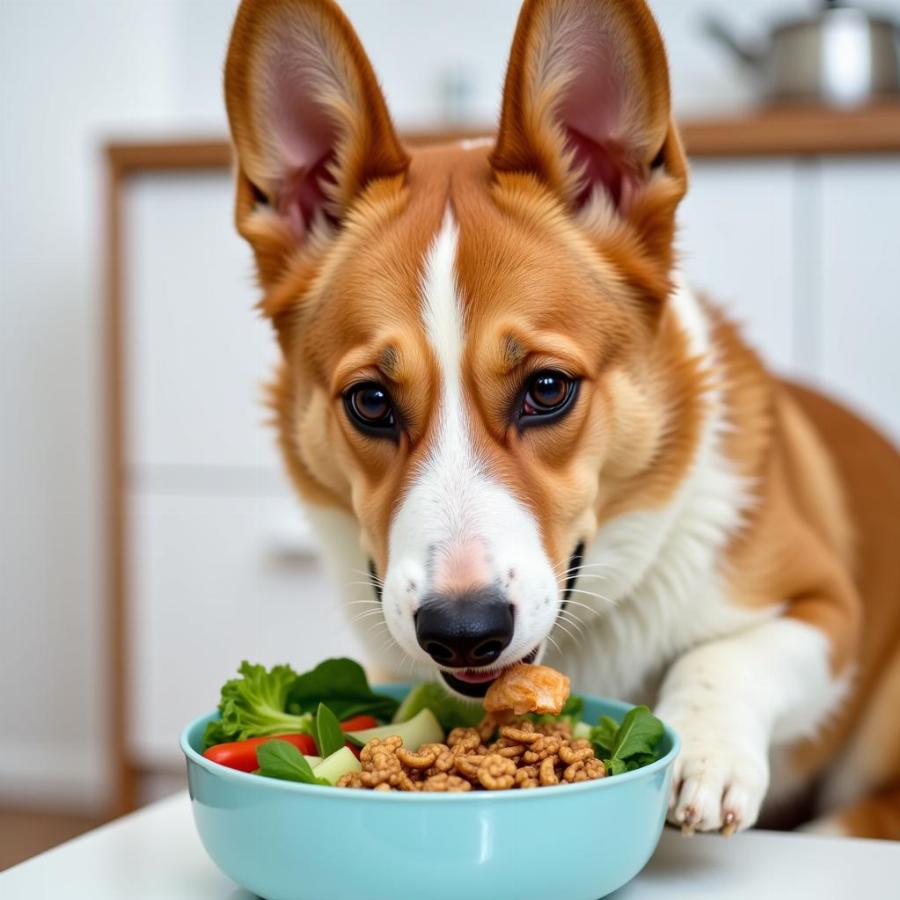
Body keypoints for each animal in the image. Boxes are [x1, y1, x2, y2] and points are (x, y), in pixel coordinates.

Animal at [223, 0, 900, 840]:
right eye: (371, 401)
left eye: (547, 388)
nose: (463, 633)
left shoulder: (827, 606)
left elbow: (719, 656)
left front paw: (705, 755)